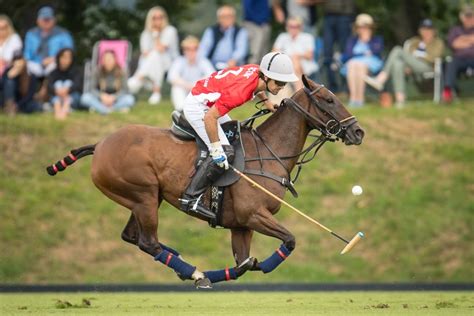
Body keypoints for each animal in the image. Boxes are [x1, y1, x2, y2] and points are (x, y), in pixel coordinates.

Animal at [46, 76, 364, 286]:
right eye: (329, 100)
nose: (358, 132)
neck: (268, 151)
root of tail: (100, 145)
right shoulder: (254, 214)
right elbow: (288, 241)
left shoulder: (241, 224)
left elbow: (244, 263)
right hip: (143, 195)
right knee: (148, 242)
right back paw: (194, 272)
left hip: (145, 199)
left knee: (134, 237)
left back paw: (183, 265)